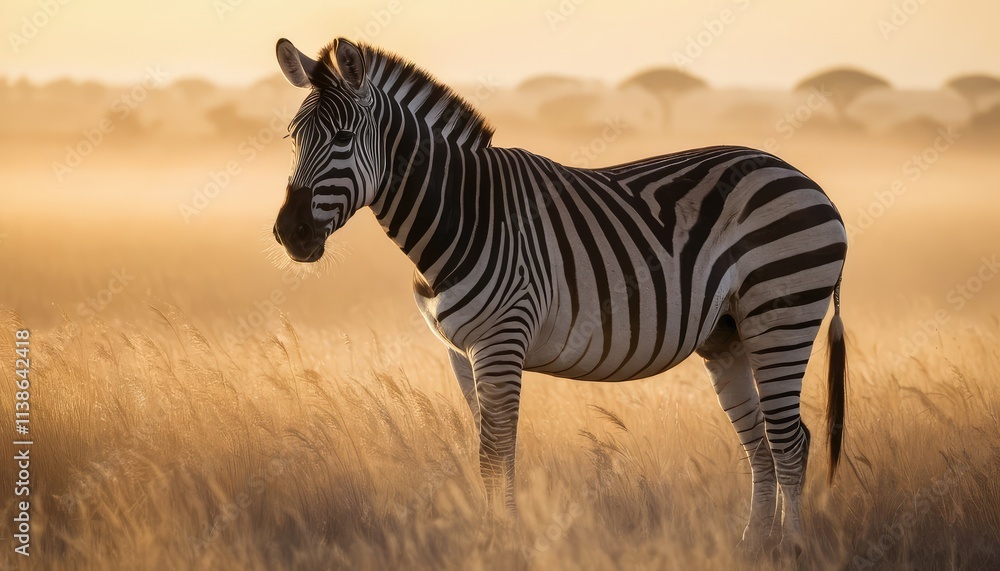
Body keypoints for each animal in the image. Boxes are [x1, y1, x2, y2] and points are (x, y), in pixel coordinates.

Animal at [271, 37, 848, 551]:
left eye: (344, 138)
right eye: (292, 138)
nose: (289, 233)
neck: (464, 213)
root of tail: (801, 176)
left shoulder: (501, 341)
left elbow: (497, 451)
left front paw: (504, 542)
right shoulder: (459, 351)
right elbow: (483, 451)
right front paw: (490, 538)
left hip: (781, 314)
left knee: (790, 442)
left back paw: (793, 549)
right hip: (728, 334)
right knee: (759, 445)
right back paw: (755, 545)